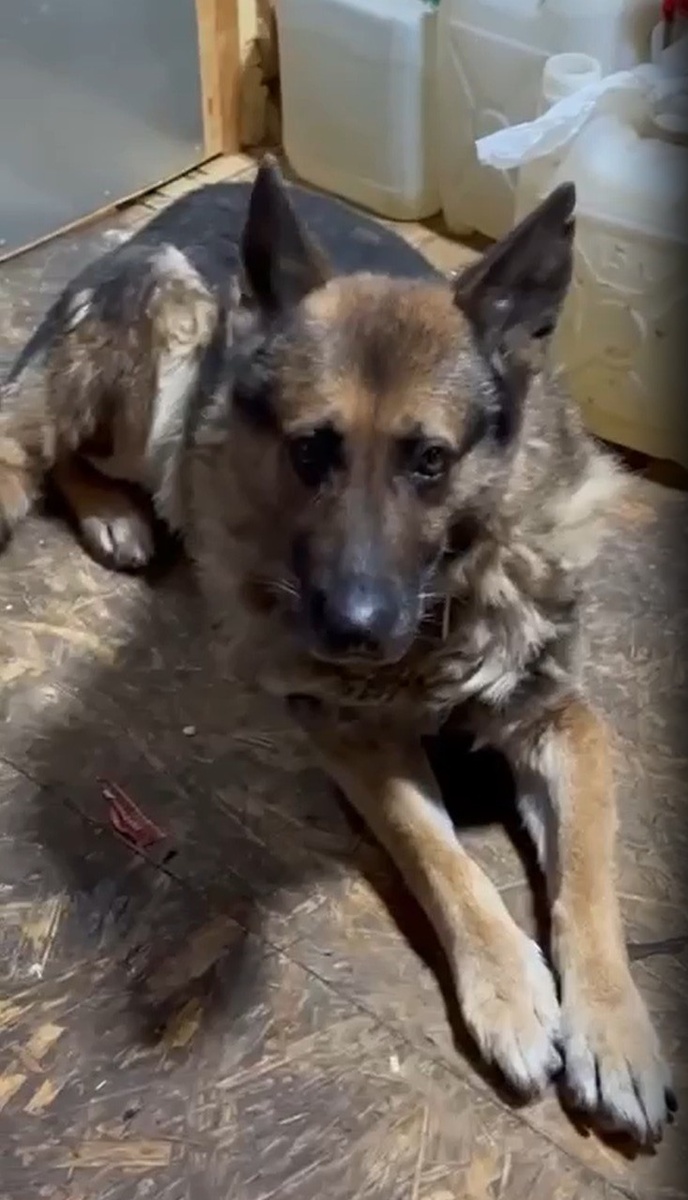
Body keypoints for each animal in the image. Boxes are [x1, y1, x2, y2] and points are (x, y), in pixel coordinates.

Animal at [0, 158, 675, 1144]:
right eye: (310, 450)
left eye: (430, 461)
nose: (355, 630)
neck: (445, 606)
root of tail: (176, 212)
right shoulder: (350, 731)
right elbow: (440, 859)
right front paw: (508, 989)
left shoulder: (563, 719)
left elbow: (588, 881)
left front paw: (617, 1028)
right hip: (167, 351)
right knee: (53, 456)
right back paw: (114, 513)